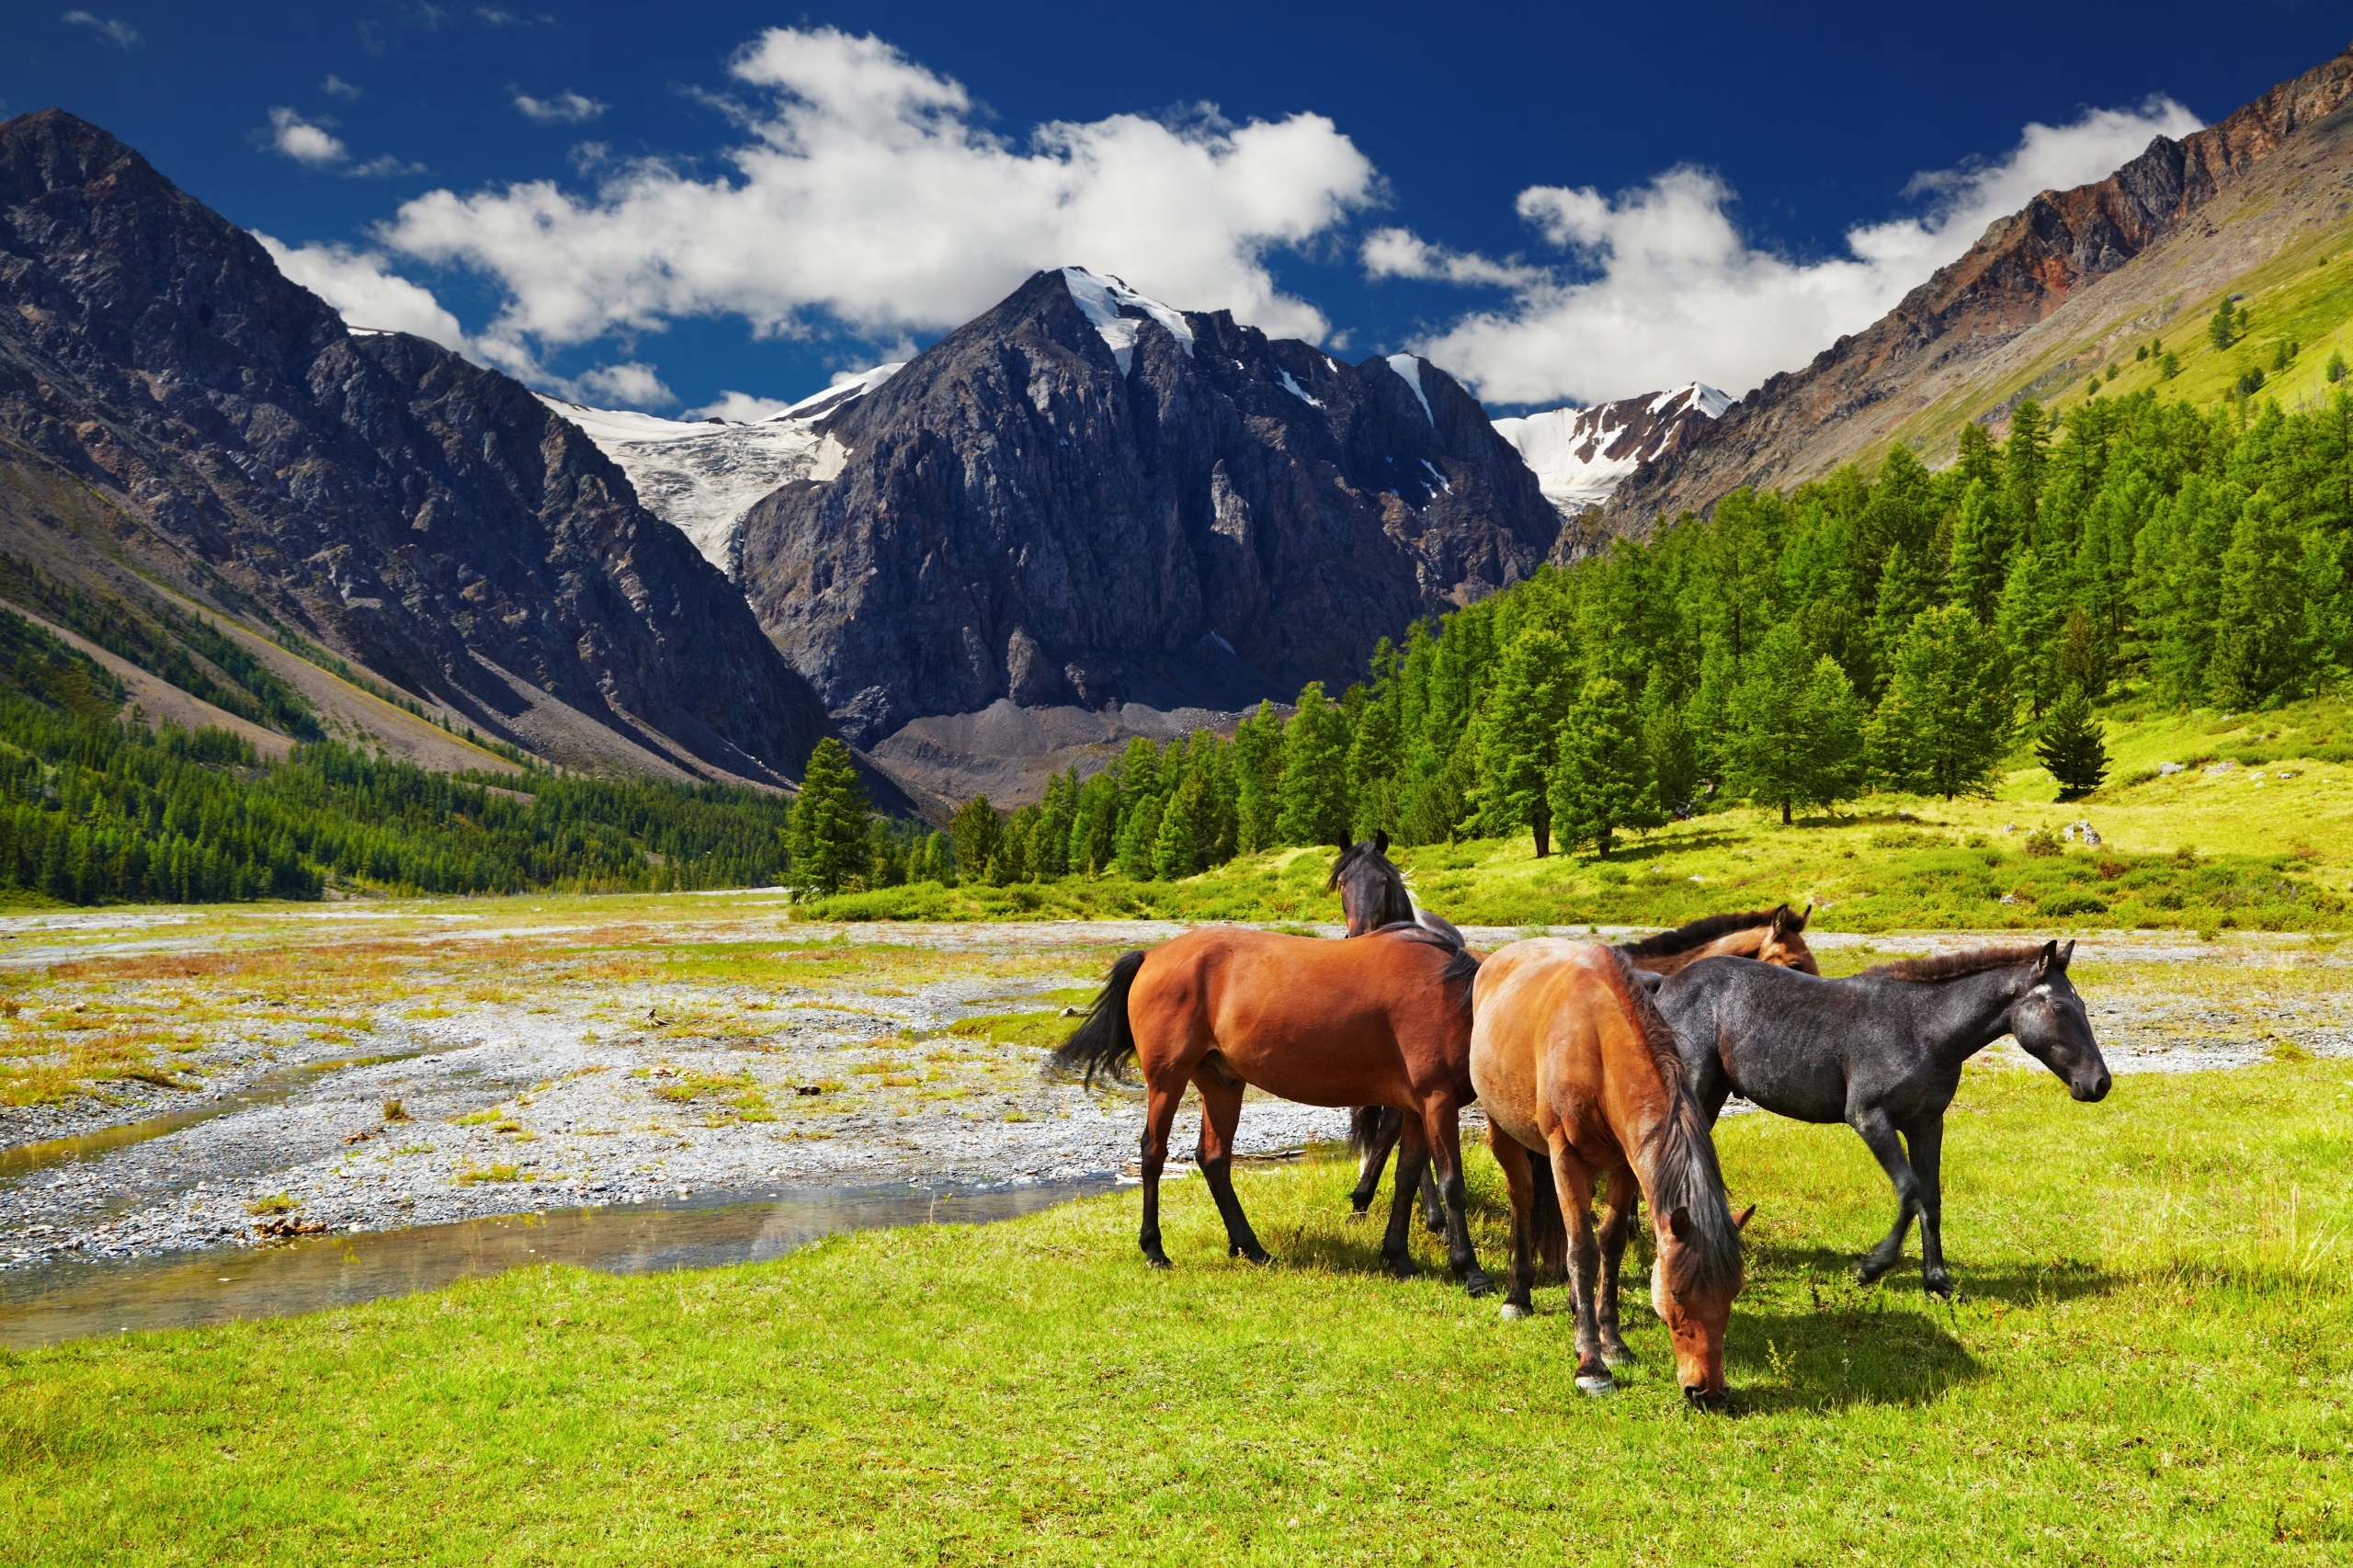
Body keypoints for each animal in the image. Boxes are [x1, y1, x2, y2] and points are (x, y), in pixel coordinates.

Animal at [1049, 923, 1486, 1290]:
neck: (1458, 998)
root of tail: (1152, 955)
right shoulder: (1437, 1102)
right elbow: (1451, 1185)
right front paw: (1470, 1270)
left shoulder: (1417, 1108)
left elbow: (1406, 1179)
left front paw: (1399, 1258)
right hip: (1167, 1081)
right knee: (1153, 1154)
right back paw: (1155, 1249)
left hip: (1222, 1084)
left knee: (1213, 1159)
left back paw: (1250, 1247)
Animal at [1468, 941, 1750, 1403]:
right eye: (1677, 1292)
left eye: (1733, 1290)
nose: (1707, 1391)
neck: (1597, 1045)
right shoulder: (1565, 1155)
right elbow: (1582, 1251)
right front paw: (1591, 1364)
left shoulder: (1626, 1165)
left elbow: (1610, 1243)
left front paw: (1613, 1342)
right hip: (1502, 1131)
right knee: (1523, 1199)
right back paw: (1518, 1296)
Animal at [1656, 941, 2118, 1290]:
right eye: (2060, 1008)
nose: (2099, 1083)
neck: (1921, 1030)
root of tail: (1663, 986)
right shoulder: (1869, 1117)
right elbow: (1910, 1190)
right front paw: (1873, 1266)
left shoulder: (1926, 1124)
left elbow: (1930, 1197)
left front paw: (1937, 1281)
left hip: (1711, 1096)